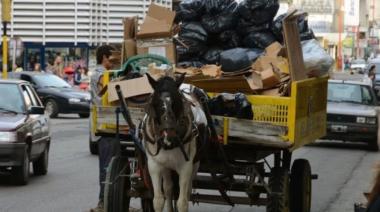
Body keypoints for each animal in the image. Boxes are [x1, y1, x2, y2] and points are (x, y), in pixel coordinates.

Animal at [142, 73, 208, 212]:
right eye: (155, 102)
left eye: (176, 102)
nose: (169, 134)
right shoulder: (154, 165)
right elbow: (158, 200)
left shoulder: (186, 167)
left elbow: (182, 202)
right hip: (166, 166)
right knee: (168, 188)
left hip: (195, 163)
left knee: (187, 191)